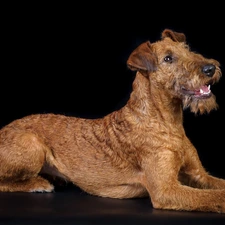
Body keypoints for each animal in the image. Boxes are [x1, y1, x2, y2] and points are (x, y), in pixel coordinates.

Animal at [0, 29, 225, 214]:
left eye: (187, 49)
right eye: (168, 58)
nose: (210, 68)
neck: (167, 123)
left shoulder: (199, 175)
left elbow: (218, 185)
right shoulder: (165, 189)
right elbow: (213, 196)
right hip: (32, 144)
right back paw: (39, 183)